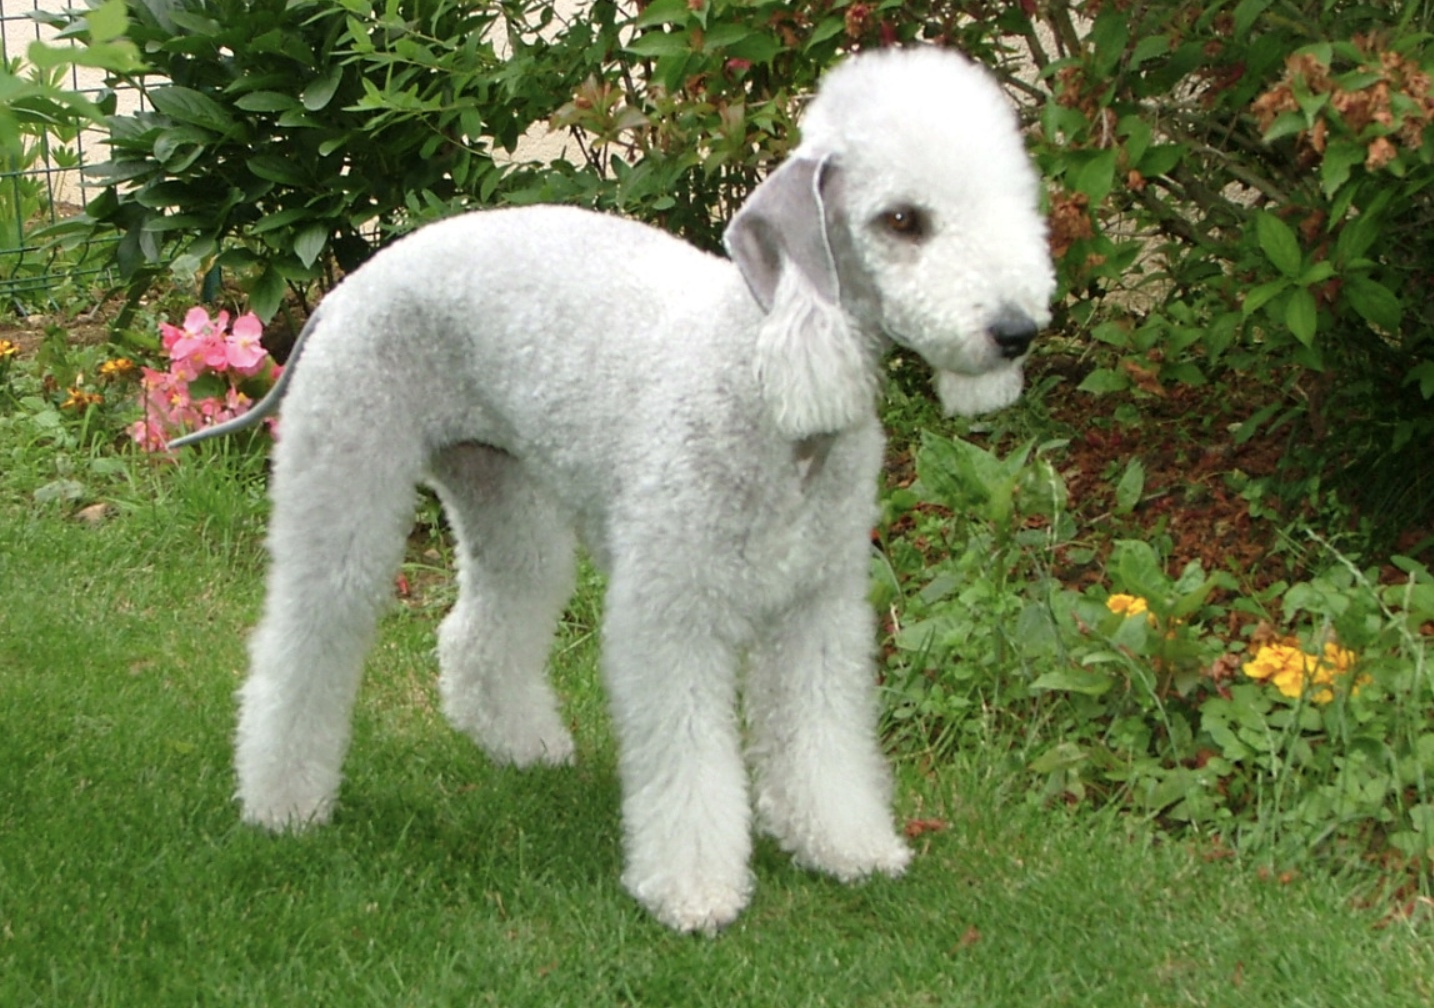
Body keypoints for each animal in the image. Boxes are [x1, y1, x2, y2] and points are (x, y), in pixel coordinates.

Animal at [176, 45, 1055, 929]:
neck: (761, 377)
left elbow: (822, 739)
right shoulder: (671, 610)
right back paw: (283, 802)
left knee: (482, 624)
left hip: (504, 492)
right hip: (346, 476)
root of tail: (350, 285)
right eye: (902, 220)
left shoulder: (819, 607)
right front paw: (693, 890)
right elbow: (689, 759)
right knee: (300, 641)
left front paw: (845, 845)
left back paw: (519, 743)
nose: (1016, 331)